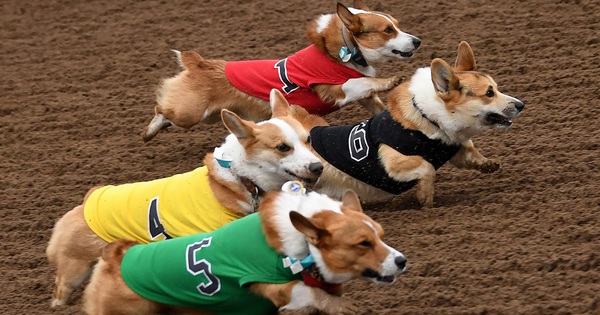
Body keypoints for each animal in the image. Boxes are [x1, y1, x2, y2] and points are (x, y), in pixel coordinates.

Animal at [46, 90, 324, 308]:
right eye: (282, 147)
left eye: (308, 139)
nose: (318, 167)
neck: (240, 179)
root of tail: (85, 204)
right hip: (74, 268)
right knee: (60, 290)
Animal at [82, 183, 406, 315]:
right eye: (362, 244)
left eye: (381, 236)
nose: (402, 261)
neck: (302, 247)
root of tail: (117, 256)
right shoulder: (273, 285)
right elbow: (313, 295)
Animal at [142, 0, 420, 141]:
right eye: (388, 30)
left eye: (397, 25)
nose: (417, 41)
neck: (343, 50)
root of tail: (198, 63)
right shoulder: (336, 89)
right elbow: (366, 82)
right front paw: (391, 80)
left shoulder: (364, 98)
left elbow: (375, 101)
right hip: (190, 113)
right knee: (161, 110)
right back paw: (149, 131)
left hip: (209, 115)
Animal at [310, 42, 524, 209]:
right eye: (489, 93)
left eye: (496, 89)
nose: (521, 105)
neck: (430, 118)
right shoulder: (394, 163)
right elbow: (427, 167)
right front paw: (426, 201)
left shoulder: (455, 151)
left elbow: (472, 156)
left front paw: (489, 164)